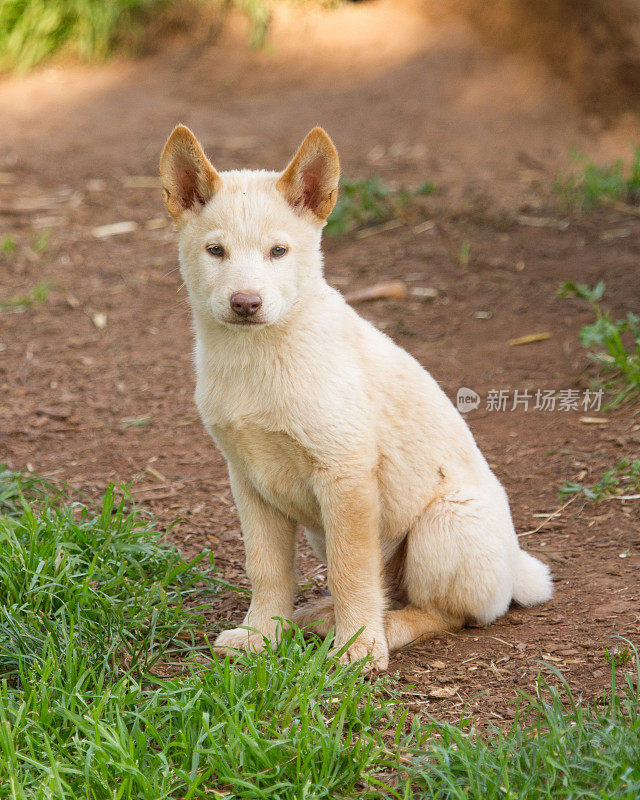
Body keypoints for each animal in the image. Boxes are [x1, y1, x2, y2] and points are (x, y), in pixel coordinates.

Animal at [159, 123, 552, 668]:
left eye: (278, 252)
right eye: (216, 251)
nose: (246, 303)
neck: (259, 358)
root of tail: (517, 571)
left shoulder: (345, 474)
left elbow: (351, 570)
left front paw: (360, 648)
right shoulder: (248, 481)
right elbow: (267, 567)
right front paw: (262, 634)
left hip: (444, 524)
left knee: (446, 613)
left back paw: (385, 628)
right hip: (323, 529)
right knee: (385, 588)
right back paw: (320, 617)